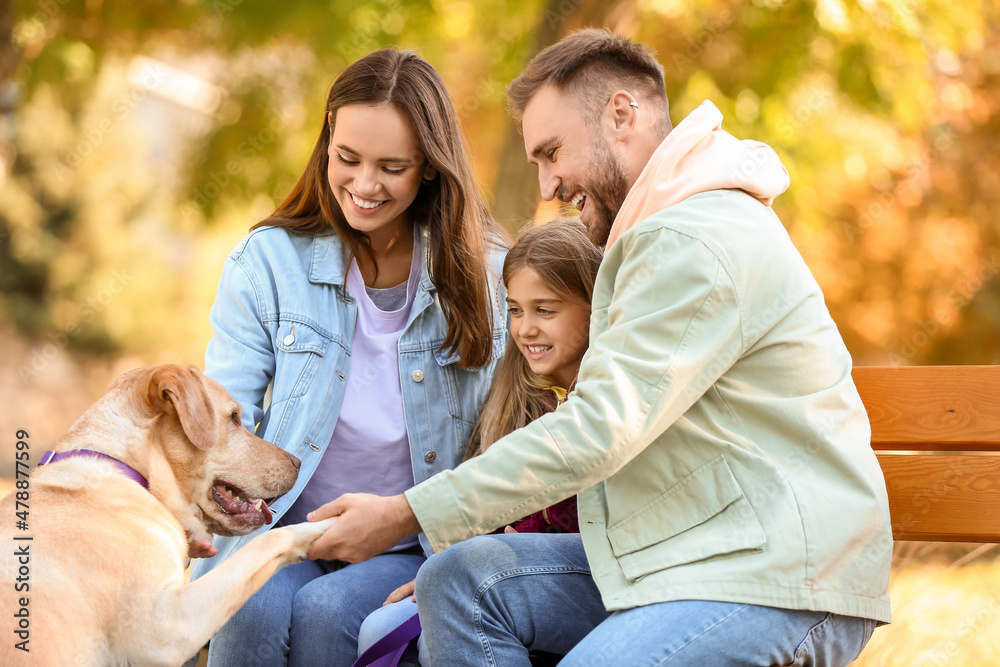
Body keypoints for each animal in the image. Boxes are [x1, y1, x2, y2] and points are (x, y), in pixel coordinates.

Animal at [0, 366, 336, 667]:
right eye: (233, 418)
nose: (299, 463)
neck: (133, 473)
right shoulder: (166, 628)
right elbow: (270, 540)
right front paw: (327, 525)